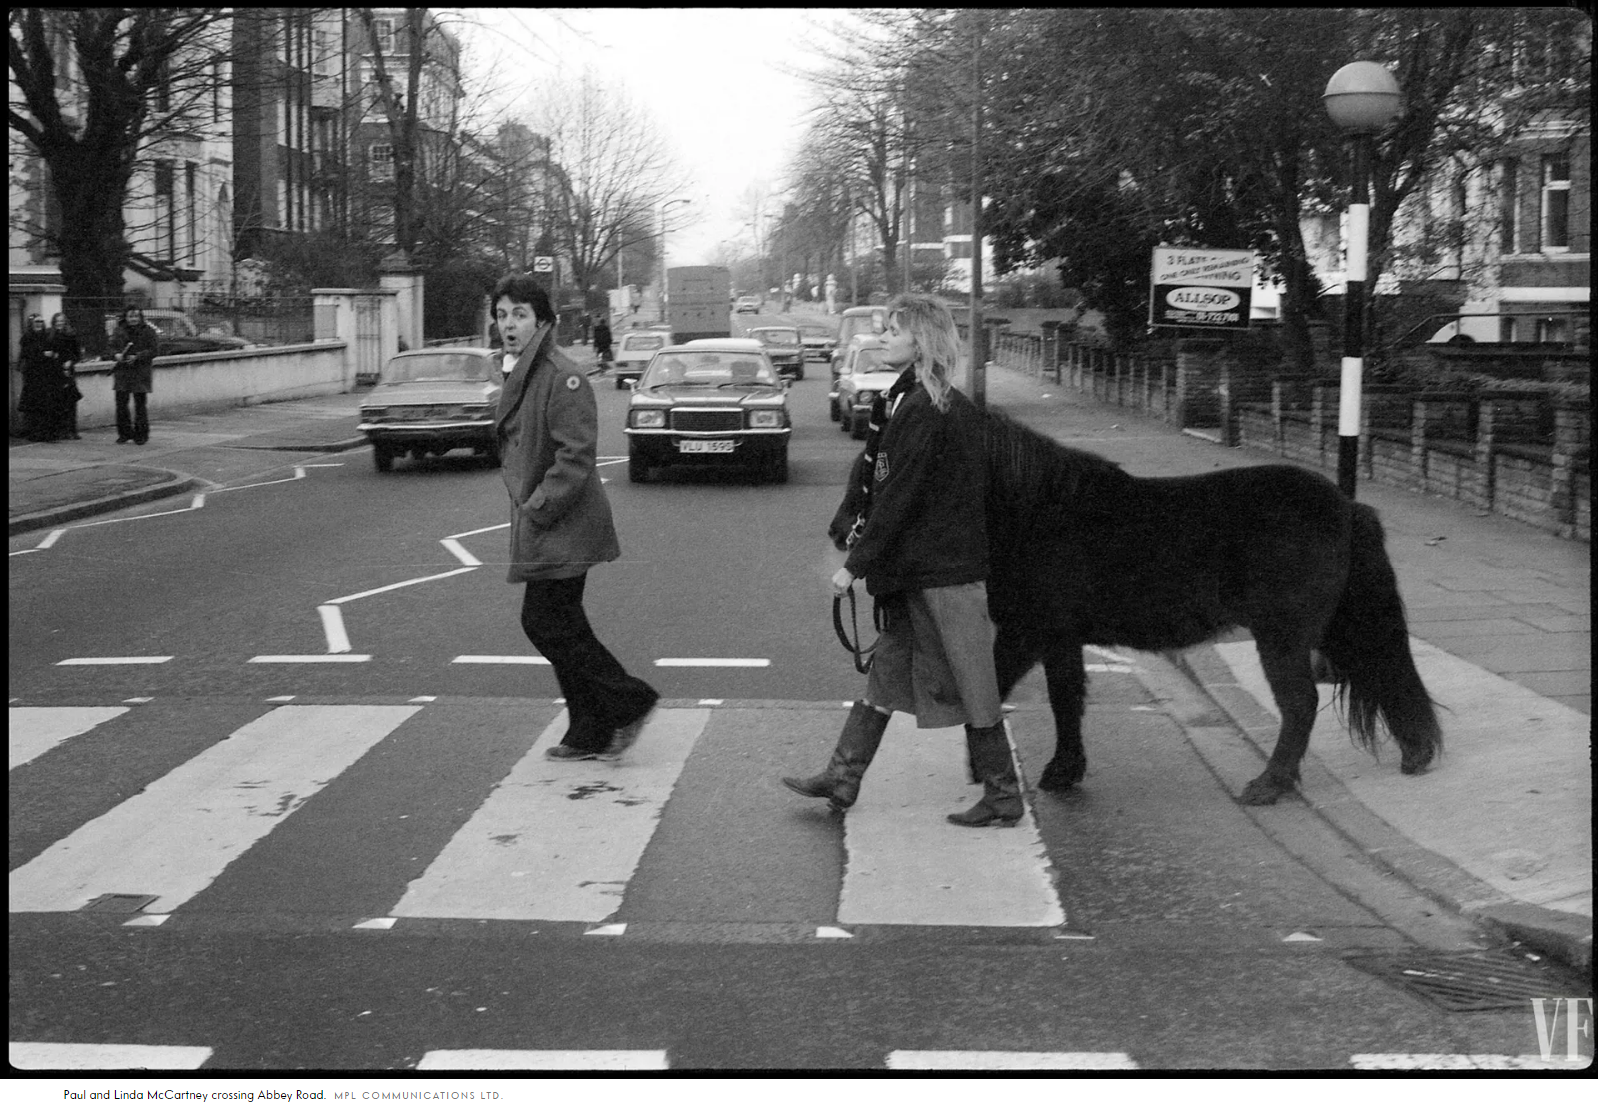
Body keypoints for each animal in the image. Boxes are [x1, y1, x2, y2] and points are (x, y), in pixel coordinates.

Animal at [837, 412, 1438, 805]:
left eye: (877, 459)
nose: (841, 531)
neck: (1037, 510)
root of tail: (1347, 505)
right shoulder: (1060, 637)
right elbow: (1066, 700)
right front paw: (1062, 771)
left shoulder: (1029, 631)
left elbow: (999, 688)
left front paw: (991, 768)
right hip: (1335, 625)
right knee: (1379, 669)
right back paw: (1413, 751)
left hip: (1284, 636)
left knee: (1301, 705)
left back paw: (1270, 784)